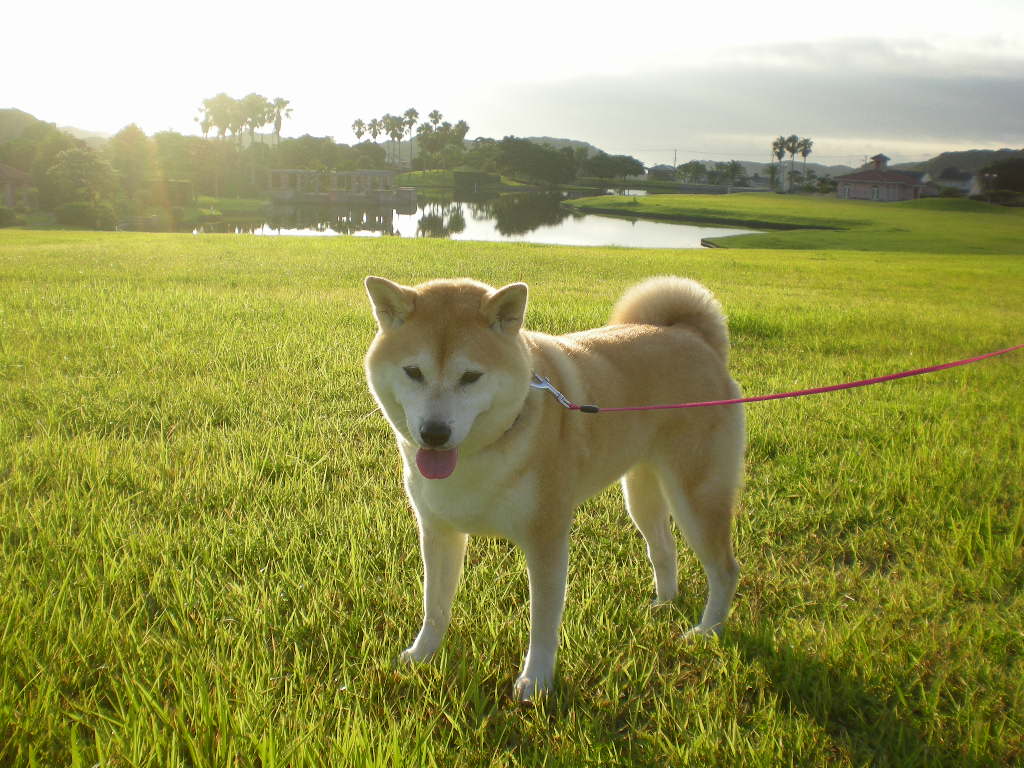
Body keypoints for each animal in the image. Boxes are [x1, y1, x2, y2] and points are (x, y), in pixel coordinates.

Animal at [366, 276, 745, 704]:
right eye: (413, 371)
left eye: (471, 377)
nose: (434, 433)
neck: (481, 453)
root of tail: (693, 337)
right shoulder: (437, 531)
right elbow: (434, 605)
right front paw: (421, 655)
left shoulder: (546, 538)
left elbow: (543, 621)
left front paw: (536, 682)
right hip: (642, 493)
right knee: (663, 549)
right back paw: (663, 604)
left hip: (696, 495)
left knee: (724, 569)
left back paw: (707, 631)